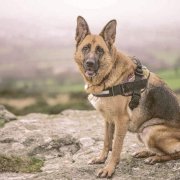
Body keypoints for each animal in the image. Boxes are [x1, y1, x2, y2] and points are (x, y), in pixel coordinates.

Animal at [74, 16, 179, 178]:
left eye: (100, 50)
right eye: (85, 48)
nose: (90, 64)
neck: (109, 74)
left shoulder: (121, 121)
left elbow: (116, 147)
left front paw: (109, 168)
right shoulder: (108, 120)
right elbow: (106, 142)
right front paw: (101, 159)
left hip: (150, 131)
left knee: (175, 153)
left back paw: (155, 158)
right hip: (142, 132)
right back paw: (145, 152)